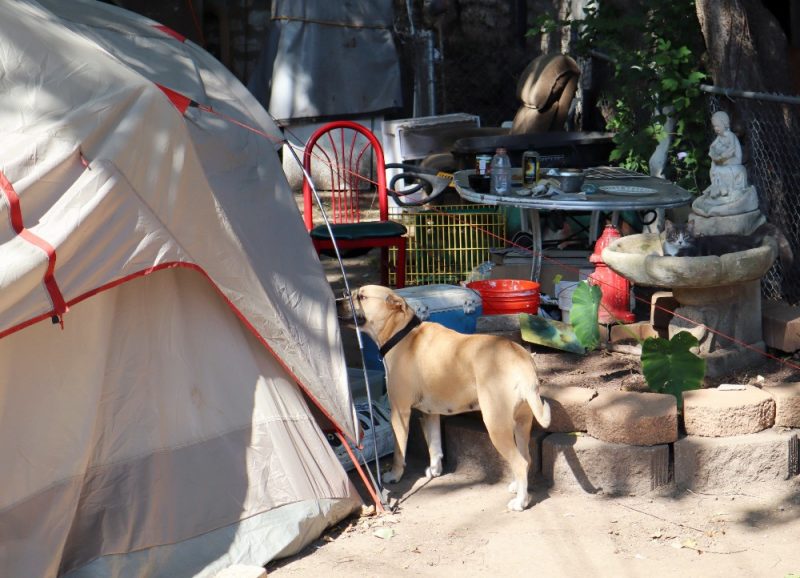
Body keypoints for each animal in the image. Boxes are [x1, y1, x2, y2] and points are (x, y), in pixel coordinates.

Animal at [350, 284, 552, 508]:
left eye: (361, 296)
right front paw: (435, 470)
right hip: (521, 422)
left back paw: (521, 502)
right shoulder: (430, 413)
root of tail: (522, 359)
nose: (340, 299)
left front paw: (394, 475)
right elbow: (435, 445)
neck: (402, 334)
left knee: (520, 462)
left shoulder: (399, 412)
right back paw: (517, 487)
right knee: (527, 458)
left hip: (497, 425)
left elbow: (398, 452)